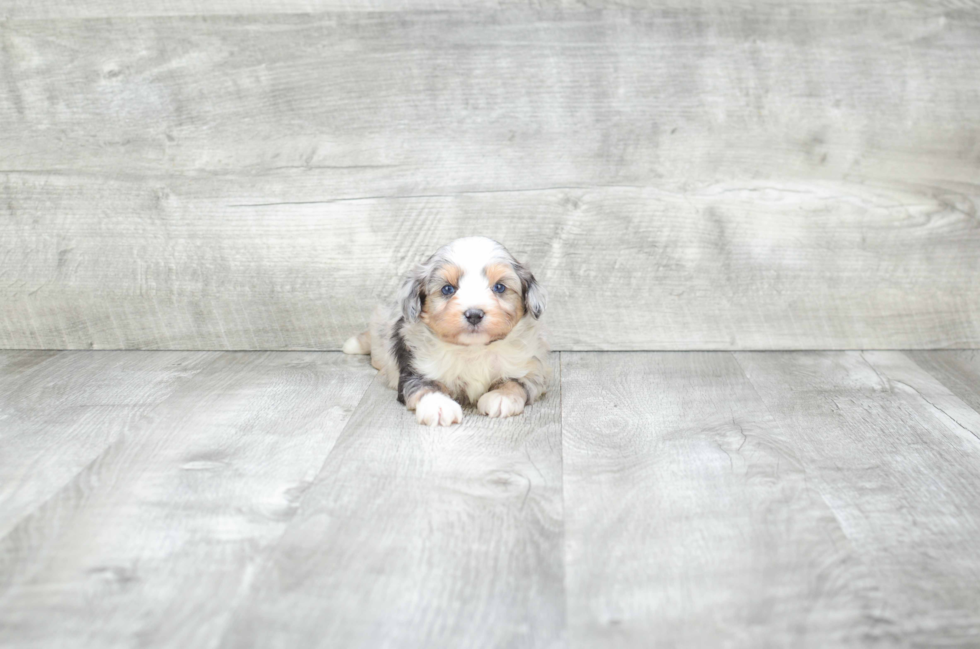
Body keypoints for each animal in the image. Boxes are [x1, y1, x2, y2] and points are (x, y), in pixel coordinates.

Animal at [342, 238, 552, 426]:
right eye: (447, 289)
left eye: (499, 287)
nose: (474, 314)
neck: (474, 350)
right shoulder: (416, 369)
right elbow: (425, 387)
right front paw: (438, 405)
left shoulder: (530, 368)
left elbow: (516, 382)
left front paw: (501, 396)